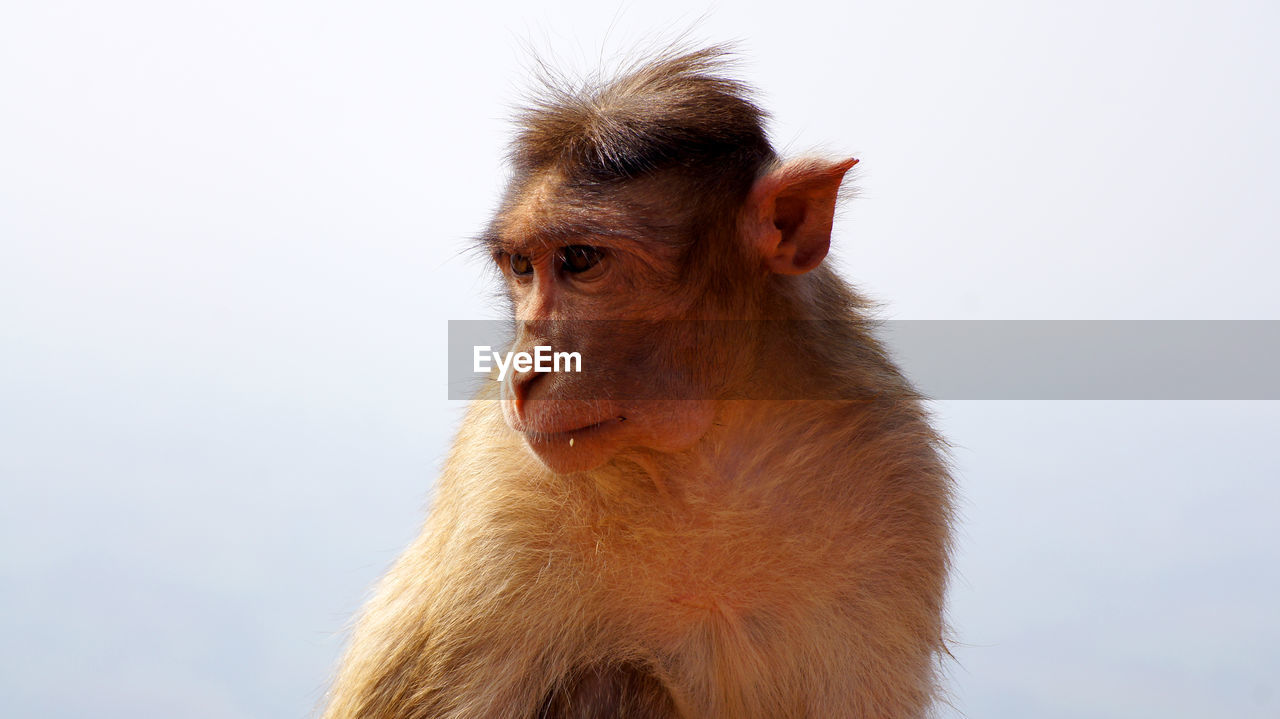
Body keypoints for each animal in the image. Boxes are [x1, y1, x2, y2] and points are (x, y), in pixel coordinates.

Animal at [325, 47, 957, 711]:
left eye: (580, 260)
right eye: (522, 265)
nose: (525, 373)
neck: (708, 452)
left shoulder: (896, 480)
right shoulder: (501, 493)